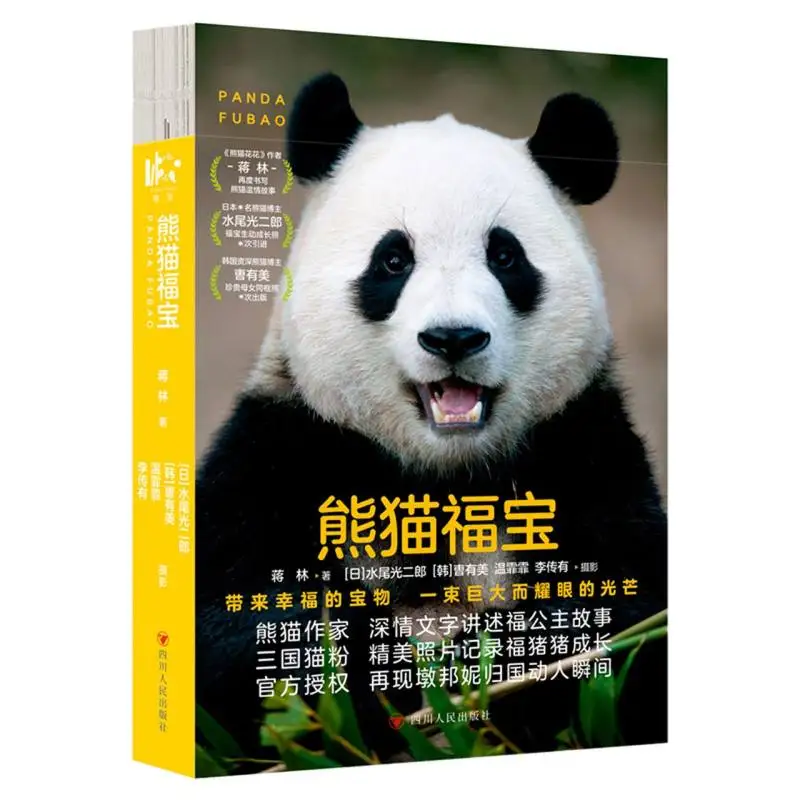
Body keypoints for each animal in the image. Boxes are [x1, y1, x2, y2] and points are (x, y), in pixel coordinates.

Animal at [195, 72, 668, 771]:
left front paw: (482, 664)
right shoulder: (286, 444)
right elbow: (235, 629)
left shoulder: (581, 444)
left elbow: (628, 617)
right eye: (393, 260)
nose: (453, 338)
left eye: (505, 256)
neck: (441, 471)